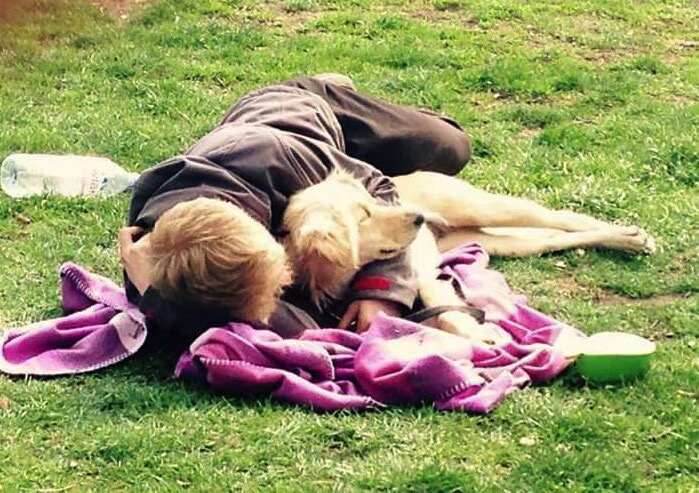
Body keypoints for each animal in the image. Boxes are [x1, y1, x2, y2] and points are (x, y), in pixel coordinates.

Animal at [281, 170, 655, 342]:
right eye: (362, 216)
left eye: (371, 202)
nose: (418, 217)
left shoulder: (424, 274)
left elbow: (444, 308)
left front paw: (480, 334)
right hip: (491, 239)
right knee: (550, 237)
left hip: (485, 207)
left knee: (560, 216)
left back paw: (632, 237)